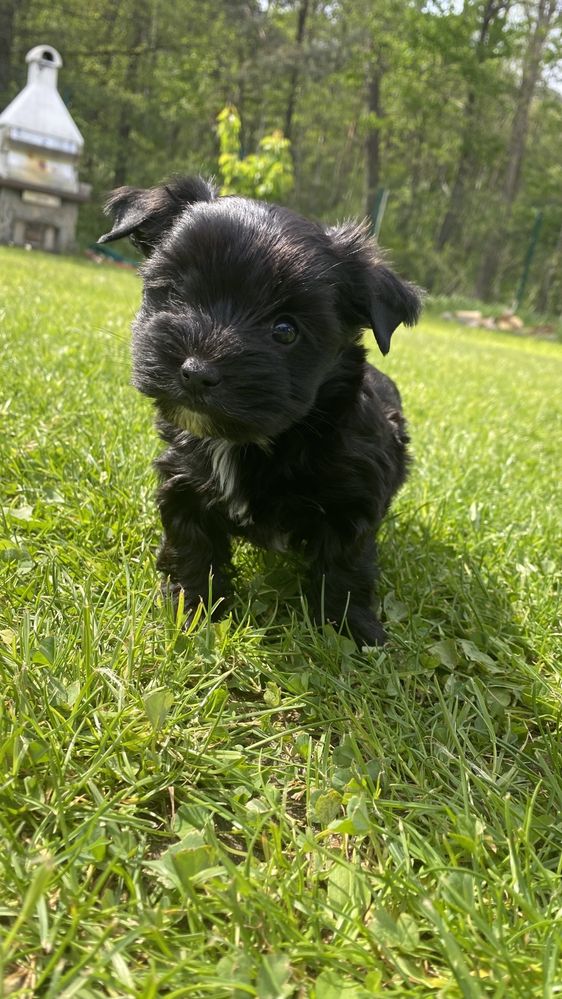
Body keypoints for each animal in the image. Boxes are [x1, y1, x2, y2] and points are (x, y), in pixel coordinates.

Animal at [98, 179, 418, 648]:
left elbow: (347, 565)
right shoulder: (184, 481)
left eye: (285, 330)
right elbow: (191, 545)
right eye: (176, 292)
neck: (251, 442)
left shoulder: (353, 499)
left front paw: (354, 632)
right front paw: (191, 611)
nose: (196, 372)